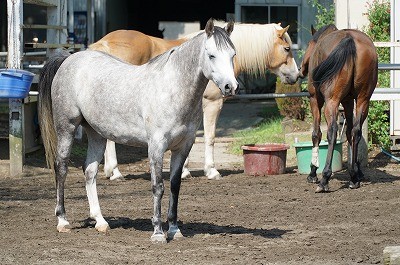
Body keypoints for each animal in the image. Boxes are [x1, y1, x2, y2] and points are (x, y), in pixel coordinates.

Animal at [37, 19, 238, 241]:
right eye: (211, 55)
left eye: (232, 54)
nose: (230, 87)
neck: (172, 89)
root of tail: (69, 59)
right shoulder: (156, 147)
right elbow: (158, 187)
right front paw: (158, 232)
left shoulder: (183, 147)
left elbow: (174, 186)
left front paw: (175, 230)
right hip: (67, 127)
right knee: (61, 167)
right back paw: (62, 220)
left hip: (96, 134)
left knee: (90, 171)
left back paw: (100, 221)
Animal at [89, 21, 298, 180]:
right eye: (287, 48)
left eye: (234, 54)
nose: (296, 76)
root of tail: (102, 44)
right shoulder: (212, 103)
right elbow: (209, 137)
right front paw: (211, 170)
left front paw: (184, 170)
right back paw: (115, 172)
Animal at [300, 24, 378, 192]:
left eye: (309, 44)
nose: (302, 68)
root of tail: (350, 40)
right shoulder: (348, 101)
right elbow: (349, 133)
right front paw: (356, 171)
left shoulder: (315, 99)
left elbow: (316, 134)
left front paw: (313, 172)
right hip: (363, 100)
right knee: (355, 132)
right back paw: (353, 178)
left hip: (331, 102)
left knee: (332, 131)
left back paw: (324, 178)